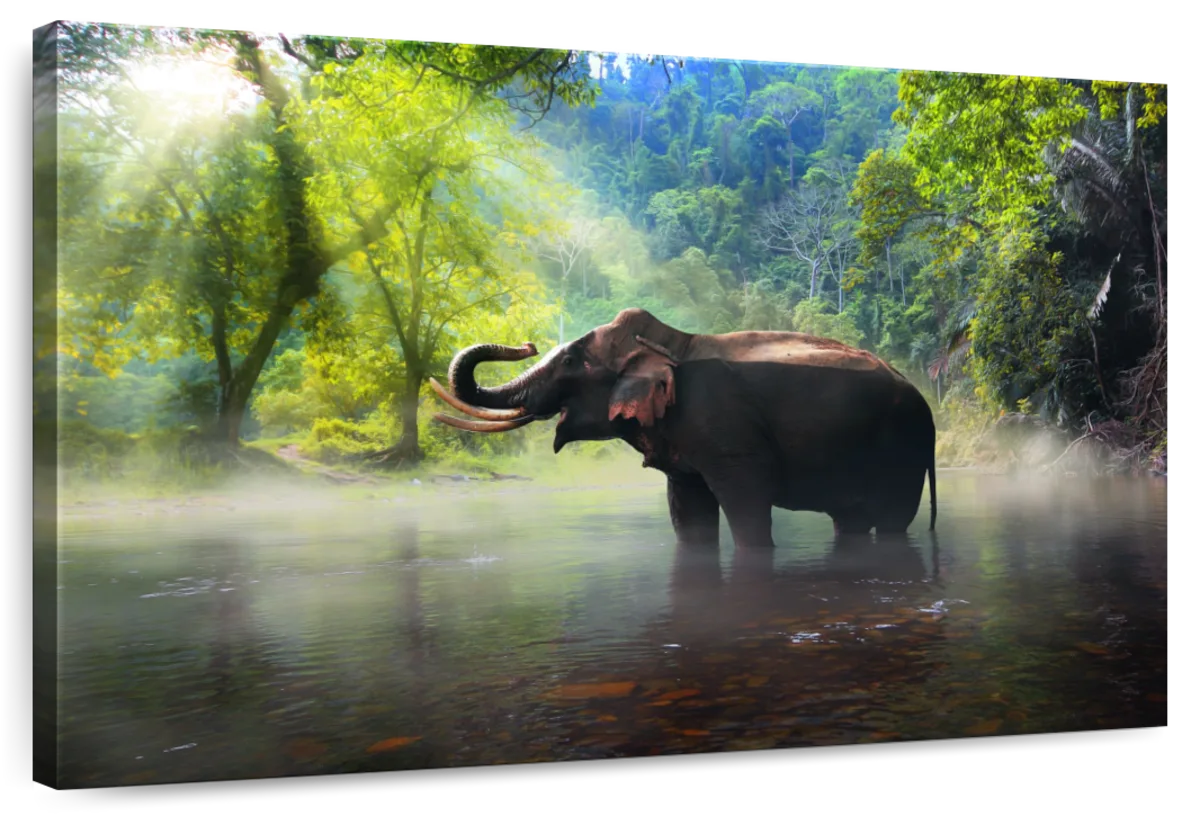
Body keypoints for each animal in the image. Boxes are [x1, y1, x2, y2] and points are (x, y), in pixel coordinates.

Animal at [429, 308, 936, 548]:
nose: (526, 344)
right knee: (850, 520)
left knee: (893, 520)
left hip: (905, 448)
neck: (673, 343)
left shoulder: (728, 433)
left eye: (571, 361)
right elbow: (688, 512)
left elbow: (747, 505)